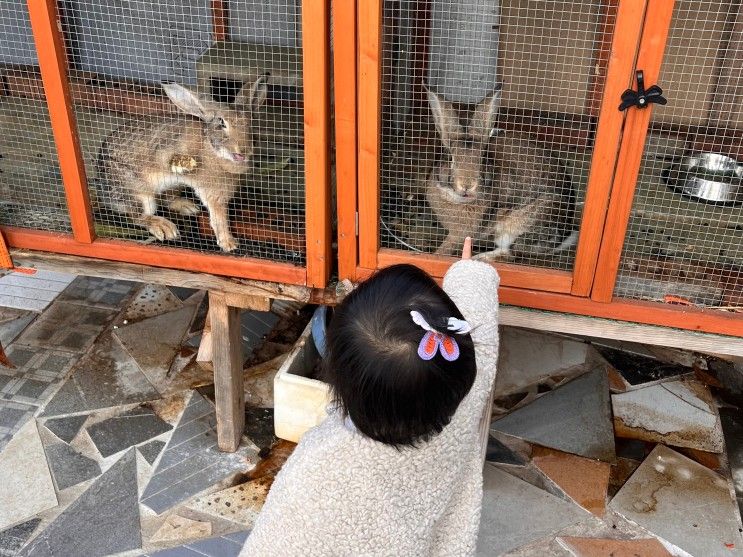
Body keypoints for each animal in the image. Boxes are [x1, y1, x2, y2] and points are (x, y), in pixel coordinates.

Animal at [96, 75, 268, 252]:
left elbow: (219, 217)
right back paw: (163, 227)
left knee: (166, 200)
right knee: (137, 215)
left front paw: (229, 243)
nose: (244, 150)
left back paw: (187, 207)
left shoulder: (217, 195)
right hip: (135, 191)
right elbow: (218, 218)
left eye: (250, 123)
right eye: (222, 123)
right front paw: (229, 244)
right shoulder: (167, 149)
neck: (211, 149)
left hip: (173, 186)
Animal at [424, 86, 576, 260]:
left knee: (512, 252)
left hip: (523, 224)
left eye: (483, 158)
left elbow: (447, 247)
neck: (456, 199)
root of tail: (566, 233)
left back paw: (480, 257)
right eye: (450, 158)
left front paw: (436, 255)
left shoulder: (460, 234)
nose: (467, 185)